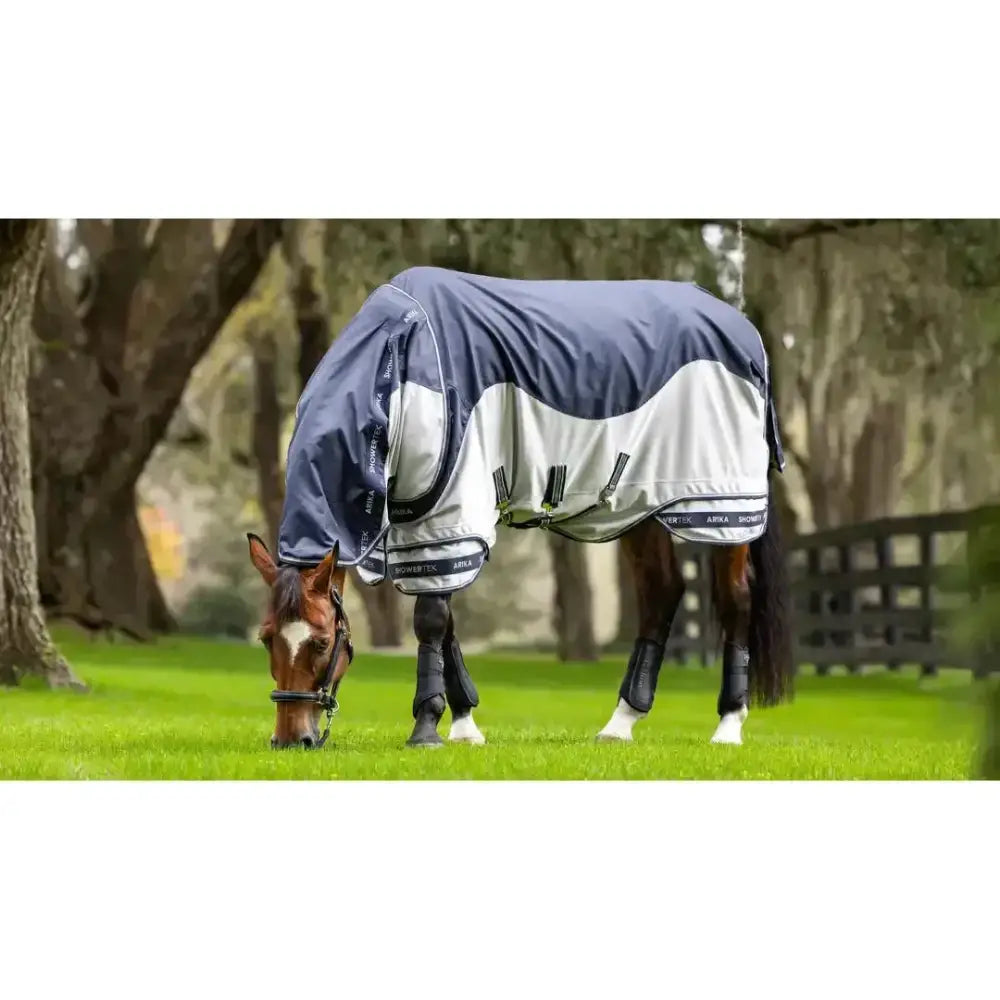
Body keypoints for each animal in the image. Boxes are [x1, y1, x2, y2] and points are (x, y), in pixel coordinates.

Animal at [247, 266, 795, 749]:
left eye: (321, 641)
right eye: (266, 638)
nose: (292, 739)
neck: (403, 362)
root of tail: (743, 329)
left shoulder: (449, 513)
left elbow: (431, 620)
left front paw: (427, 728)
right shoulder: (419, 524)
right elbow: (445, 623)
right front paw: (465, 726)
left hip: (722, 506)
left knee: (735, 600)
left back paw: (728, 725)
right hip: (643, 502)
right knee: (662, 593)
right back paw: (620, 724)